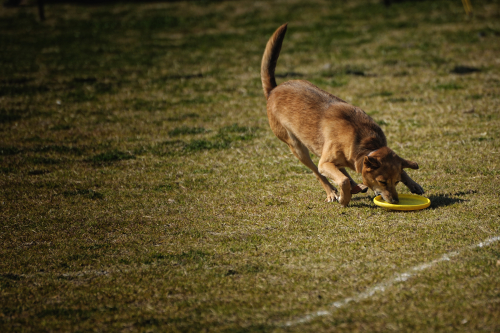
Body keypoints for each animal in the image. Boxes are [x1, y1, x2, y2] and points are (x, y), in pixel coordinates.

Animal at [260, 23, 424, 205]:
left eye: (396, 181)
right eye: (382, 181)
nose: (395, 201)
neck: (365, 143)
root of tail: (273, 90)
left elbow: (398, 168)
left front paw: (413, 183)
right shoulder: (325, 162)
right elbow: (340, 179)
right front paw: (344, 199)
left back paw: (355, 186)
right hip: (297, 148)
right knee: (318, 172)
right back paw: (332, 192)